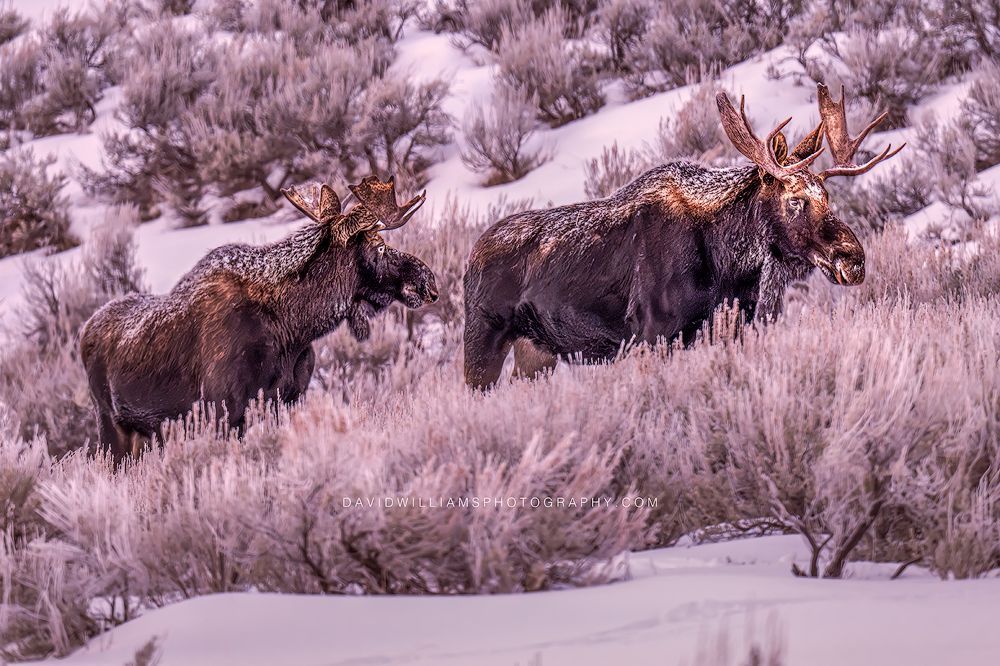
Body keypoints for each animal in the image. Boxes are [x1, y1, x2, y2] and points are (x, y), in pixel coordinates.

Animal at [81, 175, 438, 463]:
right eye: (379, 247)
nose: (429, 282)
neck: (294, 329)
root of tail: (85, 330)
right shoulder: (222, 411)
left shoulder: (290, 398)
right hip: (111, 425)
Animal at [463, 83, 904, 388]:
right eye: (794, 199)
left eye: (827, 196)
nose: (853, 258)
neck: (731, 268)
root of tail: (470, 259)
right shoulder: (650, 335)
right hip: (481, 338)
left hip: (535, 354)